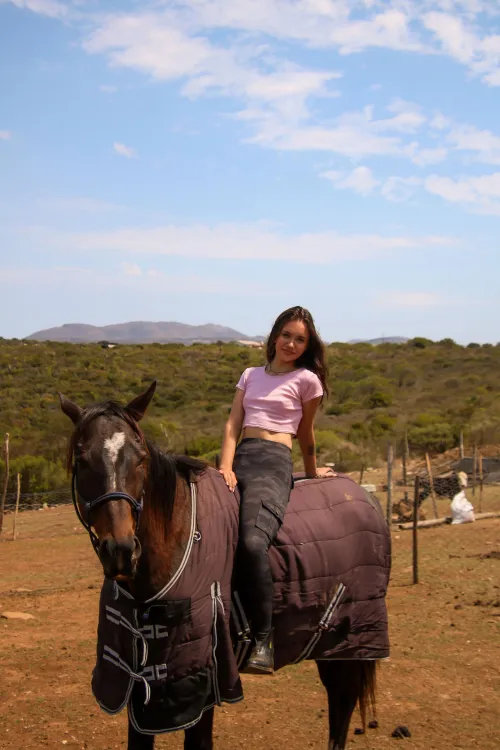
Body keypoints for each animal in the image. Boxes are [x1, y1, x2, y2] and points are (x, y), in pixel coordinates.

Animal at [59, 381, 391, 750]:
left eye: (140, 458)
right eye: (81, 460)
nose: (120, 550)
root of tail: (365, 496)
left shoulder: (204, 682)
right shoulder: (137, 686)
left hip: (349, 641)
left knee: (342, 704)